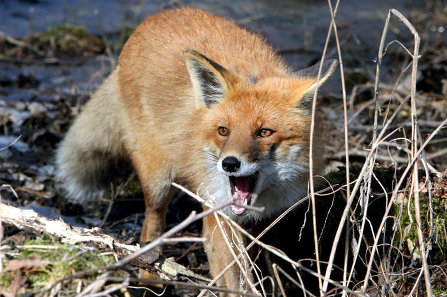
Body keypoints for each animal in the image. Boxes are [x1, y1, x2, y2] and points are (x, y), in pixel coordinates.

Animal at [55, 6, 336, 294]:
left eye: (264, 132)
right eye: (223, 130)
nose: (230, 164)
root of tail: (157, 17)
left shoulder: (265, 220)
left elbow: (264, 265)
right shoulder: (218, 216)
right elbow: (236, 277)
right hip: (159, 183)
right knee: (150, 229)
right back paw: (150, 279)